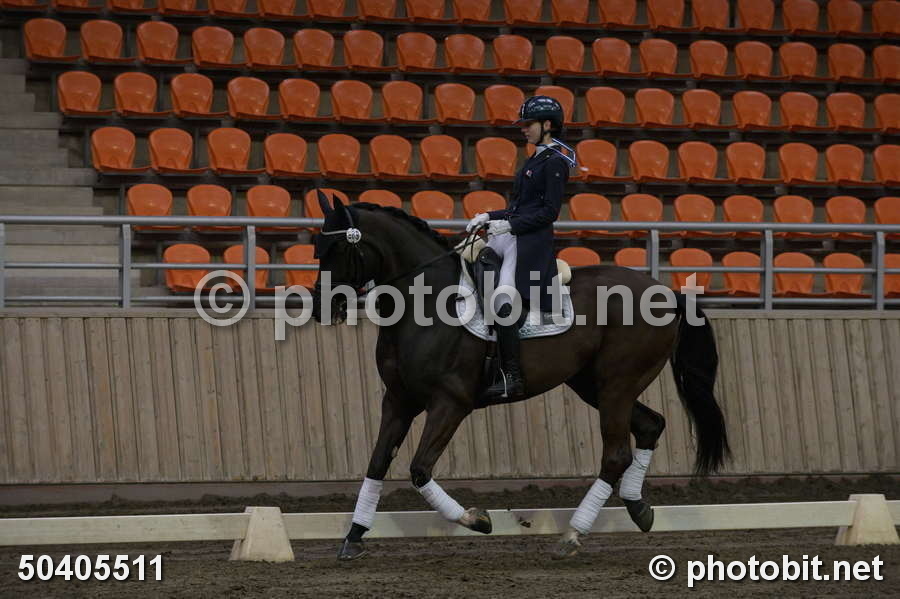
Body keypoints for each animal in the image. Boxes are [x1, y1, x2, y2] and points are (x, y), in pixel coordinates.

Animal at [310, 193, 730, 560]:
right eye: (317, 249)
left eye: (337, 249)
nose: (318, 308)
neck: (426, 302)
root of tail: (665, 292)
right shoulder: (398, 400)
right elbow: (378, 462)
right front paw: (354, 538)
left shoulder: (450, 403)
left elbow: (418, 468)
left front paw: (476, 520)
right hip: (594, 385)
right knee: (650, 425)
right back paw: (638, 508)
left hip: (617, 384)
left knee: (616, 454)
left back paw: (572, 535)